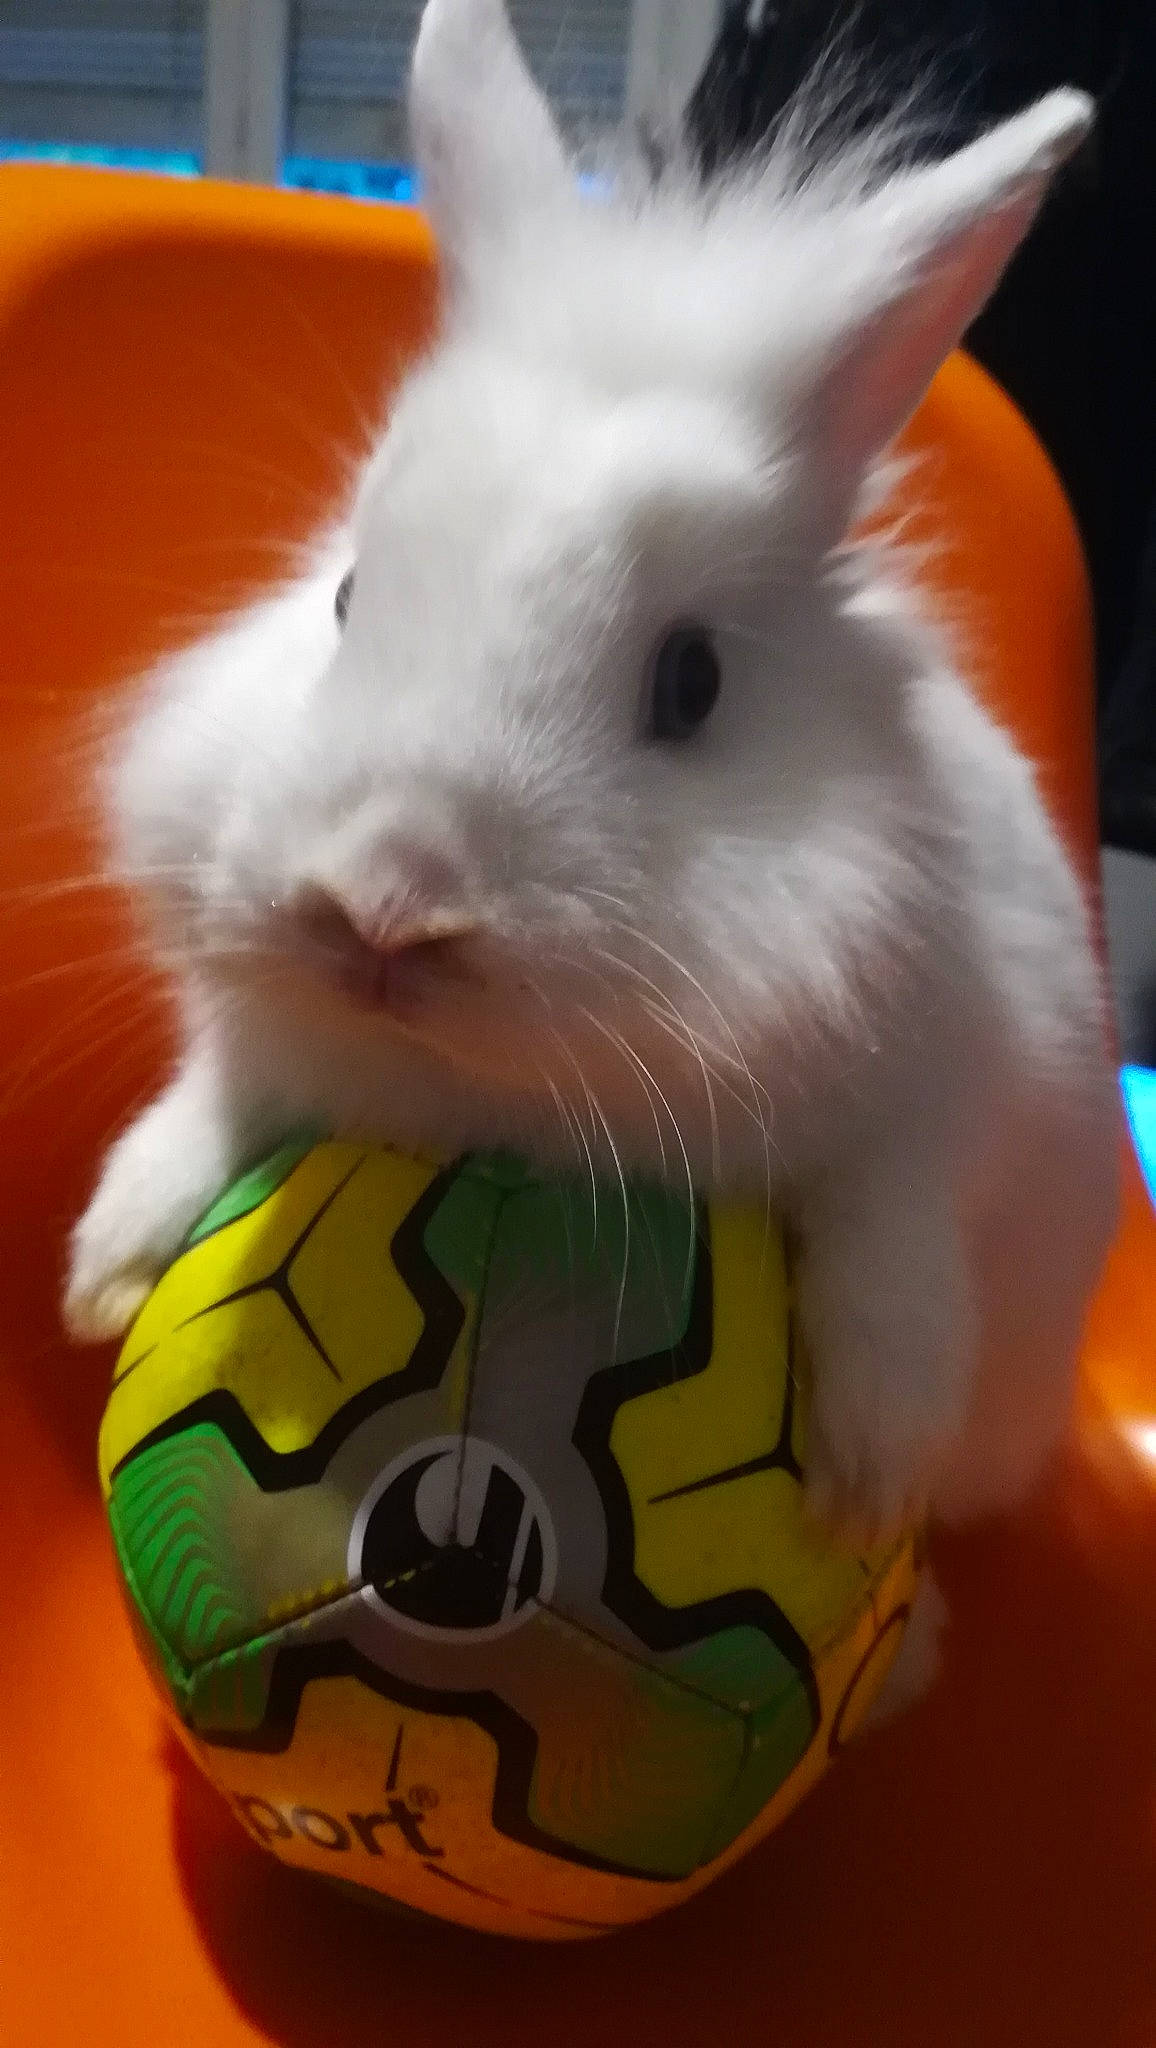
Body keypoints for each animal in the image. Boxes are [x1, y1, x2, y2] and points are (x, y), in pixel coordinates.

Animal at [64, 0, 1118, 1641]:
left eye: (691, 681)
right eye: (349, 597)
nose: (380, 908)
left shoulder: (933, 1109)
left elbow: (889, 1261)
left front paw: (859, 1480)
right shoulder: (257, 1045)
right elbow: (212, 1107)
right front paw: (109, 1264)